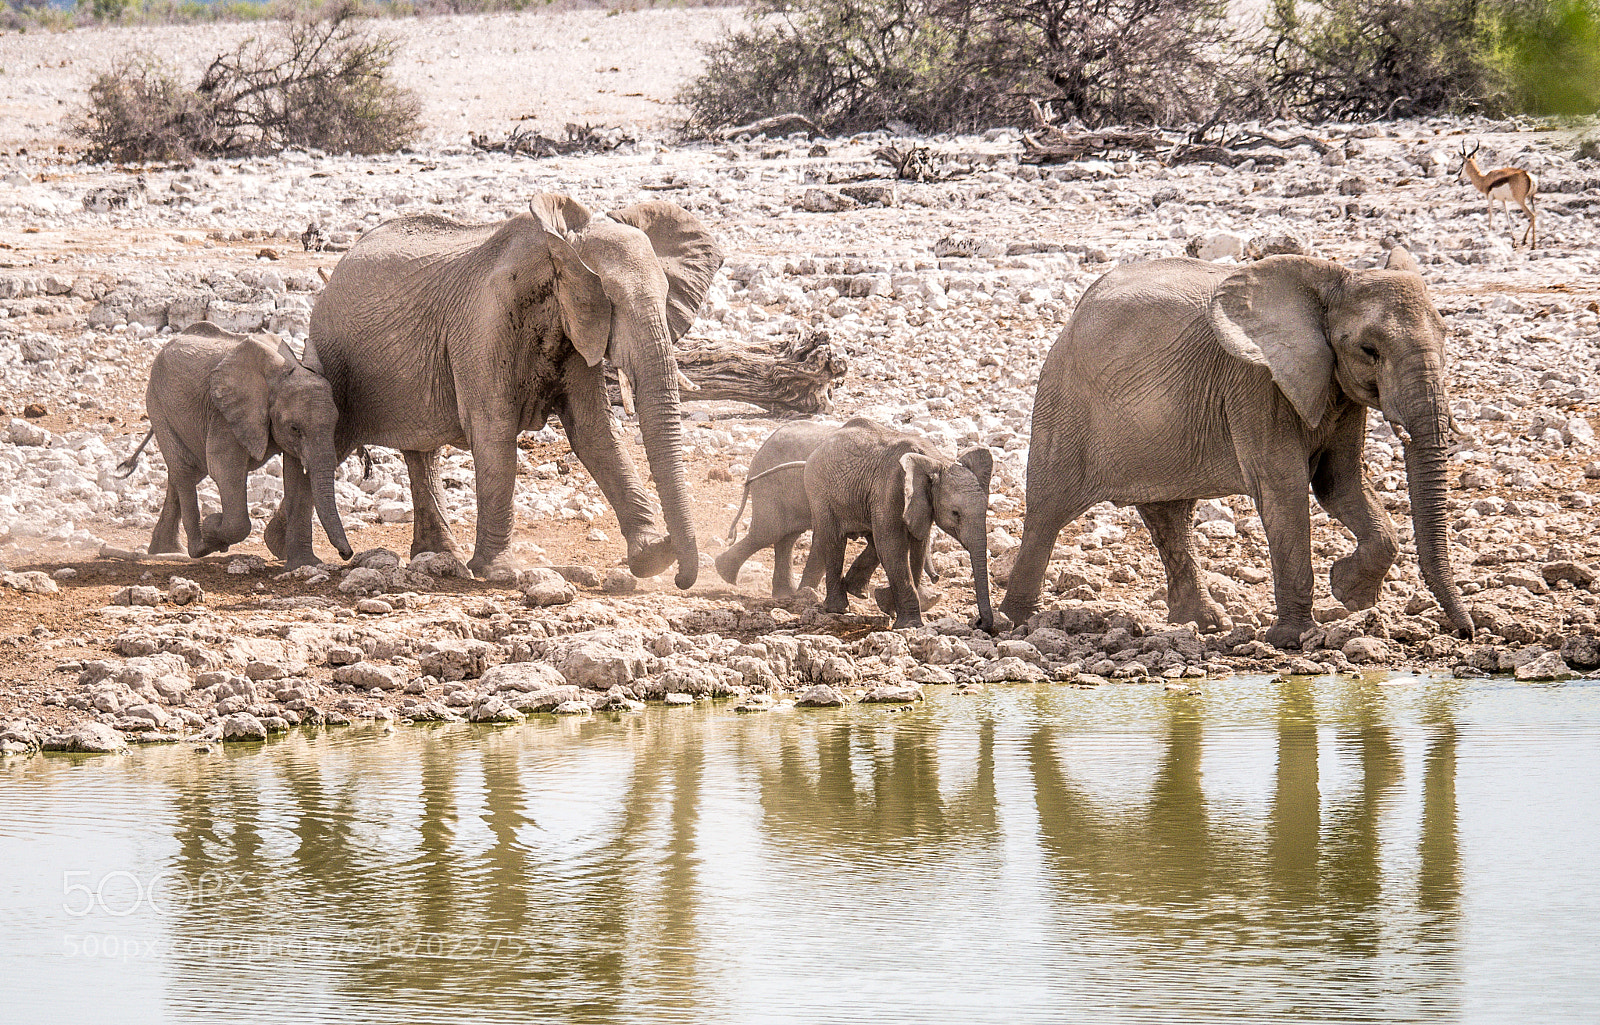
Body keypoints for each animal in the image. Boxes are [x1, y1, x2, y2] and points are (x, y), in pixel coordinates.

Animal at [117, 322, 352, 566]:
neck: (285, 369)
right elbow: (224, 471)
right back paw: (198, 547)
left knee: (186, 473)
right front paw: (212, 525)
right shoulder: (224, 414)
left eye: (336, 422)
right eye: (295, 428)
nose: (346, 554)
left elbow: (296, 477)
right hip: (158, 405)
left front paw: (306, 564)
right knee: (185, 470)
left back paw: (167, 550)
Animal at [284, 193, 723, 583]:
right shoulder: (485, 325)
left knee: (421, 452)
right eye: (610, 300)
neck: (560, 244)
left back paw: (438, 556)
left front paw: (653, 557)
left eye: (666, 295)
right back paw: (295, 556)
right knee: (331, 442)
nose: (683, 576)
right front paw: (498, 573)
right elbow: (493, 429)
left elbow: (594, 431)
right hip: (333, 359)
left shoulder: (573, 331)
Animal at [805, 418, 995, 631]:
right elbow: (893, 546)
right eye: (955, 513)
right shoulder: (890, 489)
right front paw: (910, 624)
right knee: (835, 541)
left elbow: (917, 546)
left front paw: (892, 610)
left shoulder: (921, 504)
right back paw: (839, 609)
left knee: (873, 542)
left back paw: (858, 591)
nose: (979, 623)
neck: (938, 461)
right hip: (819, 492)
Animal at [997, 247, 1475, 648]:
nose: (1466, 632)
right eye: (1369, 349)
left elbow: (1339, 484)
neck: (1328, 280)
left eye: (1446, 336)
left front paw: (1349, 593)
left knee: (1170, 514)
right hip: (1064, 399)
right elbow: (1284, 489)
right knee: (1048, 510)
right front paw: (1294, 639)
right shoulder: (1256, 383)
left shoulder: (1335, 389)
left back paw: (1204, 625)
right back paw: (1016, 623)